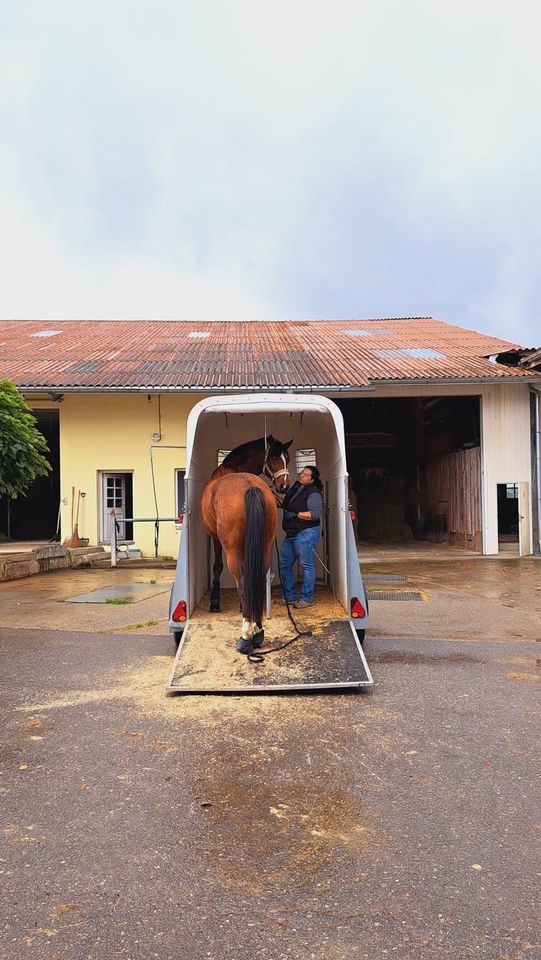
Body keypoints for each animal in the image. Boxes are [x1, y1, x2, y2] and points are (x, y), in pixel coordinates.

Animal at [199, 438, 292, 656]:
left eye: (287, 458)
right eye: (273, 457)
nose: (284, 486)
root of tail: (250, 487)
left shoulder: (216, 539)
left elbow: (217, 567)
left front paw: (215, 602)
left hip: (233, 552)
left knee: (242, 582)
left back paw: (246, 636)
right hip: (264, 547)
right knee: (256, 579)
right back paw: (258, 631)